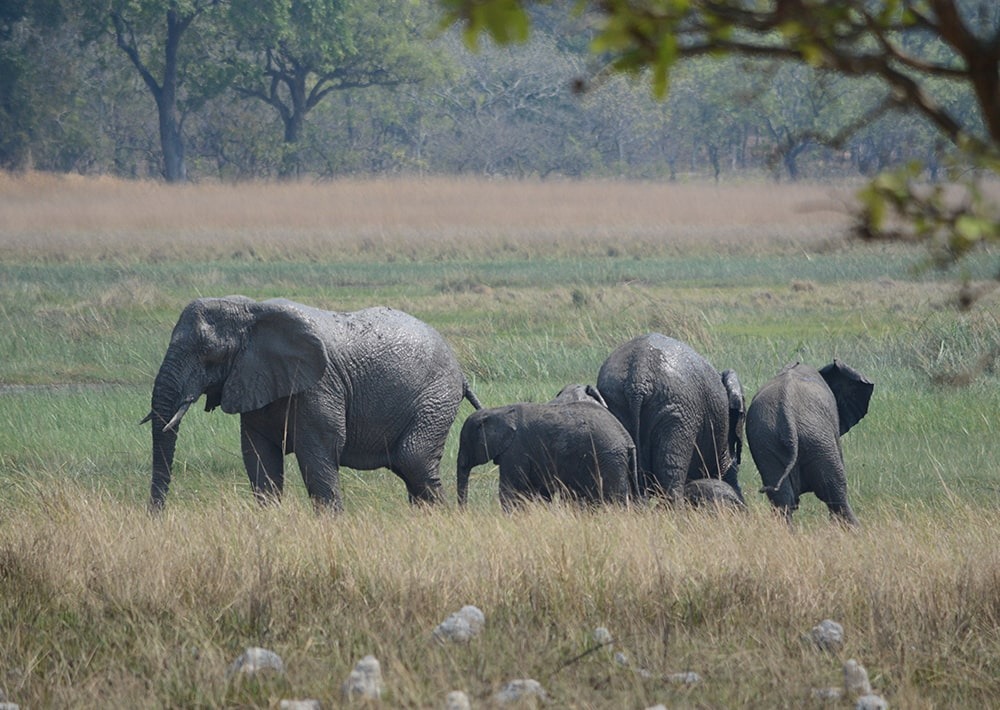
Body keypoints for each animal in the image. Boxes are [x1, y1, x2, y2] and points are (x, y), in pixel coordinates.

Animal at [143, 298, 482, 516]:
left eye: (208, 353)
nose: (157, 517)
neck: (252, 311)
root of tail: (461, 373)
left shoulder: (319, 385)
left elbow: (316, 452)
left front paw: (331, 524)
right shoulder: (255, 380)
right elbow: (258, 454)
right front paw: (269, 523)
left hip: (435, 397)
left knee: (413, 459)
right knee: (409, 466)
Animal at [458, 400, 636, 512]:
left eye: (465, 444)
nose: (464, 512)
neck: (498, 411)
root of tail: (627, 437)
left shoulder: (516, 450)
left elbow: (510, 489)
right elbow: (539, 491)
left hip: (609, 458)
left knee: (613, 497)